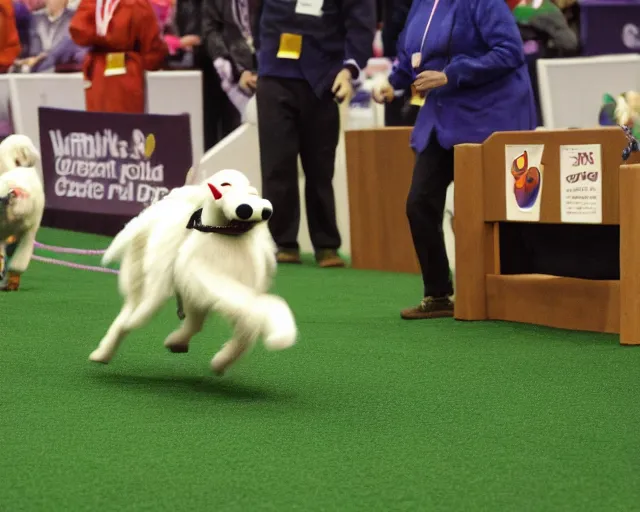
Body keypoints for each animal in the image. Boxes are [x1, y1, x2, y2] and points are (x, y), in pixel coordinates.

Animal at [90, 170, 298, 374]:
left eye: (251, 190)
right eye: (225, 185)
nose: (251, 208)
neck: (227, 237)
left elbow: (248, 325)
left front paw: (221, 362)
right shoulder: (212, 282)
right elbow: (256, 310)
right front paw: (279, 332)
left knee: (192, 323)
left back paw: (176, 342)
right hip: (148, 289)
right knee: (127, 319)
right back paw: (103, 352)